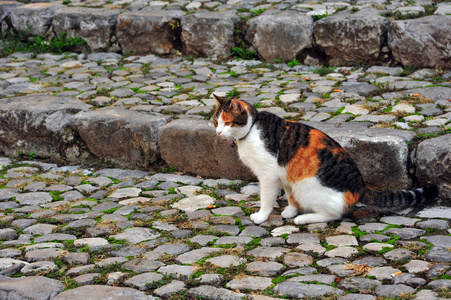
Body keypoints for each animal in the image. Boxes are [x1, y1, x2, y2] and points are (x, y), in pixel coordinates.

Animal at [214, 94, 440, 225]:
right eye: (215, 121)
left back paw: (304, 219)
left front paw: (261, 216)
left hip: (308, 188)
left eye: (227, 123)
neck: (251, 129)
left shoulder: (269, 175)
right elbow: (290, 195)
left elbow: (267, 199)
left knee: (333, 214)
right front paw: (290, 211)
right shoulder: (286, 174)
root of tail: (360, 187)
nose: (217, 132)